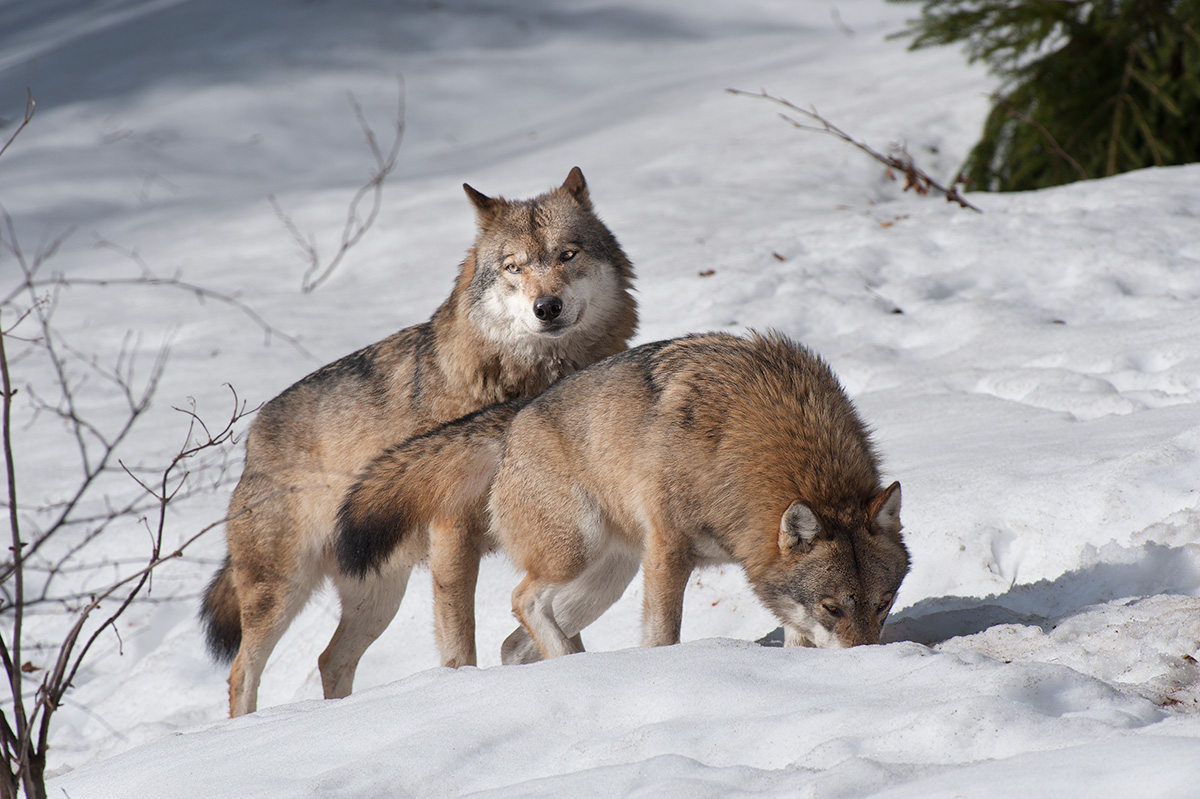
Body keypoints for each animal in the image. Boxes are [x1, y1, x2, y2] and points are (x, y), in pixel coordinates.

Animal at [200, 167, 637, 716]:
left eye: (568, 254)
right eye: (513, 267)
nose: (547, 307)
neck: (529, 379)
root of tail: (254, 434)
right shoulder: (452, 531)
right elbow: (460, 642)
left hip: (377, 592)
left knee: (330, 660)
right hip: (280, 593)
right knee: (243, 672)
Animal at [336, 331, 909, 667]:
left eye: (884, 605)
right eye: (833, 606)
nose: (868, 664)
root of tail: (516, 416)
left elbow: (795, 634)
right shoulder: (669, 550)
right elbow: (662, 636)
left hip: (604, 580)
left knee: (513, 641)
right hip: (577, 554)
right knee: (523, 601)